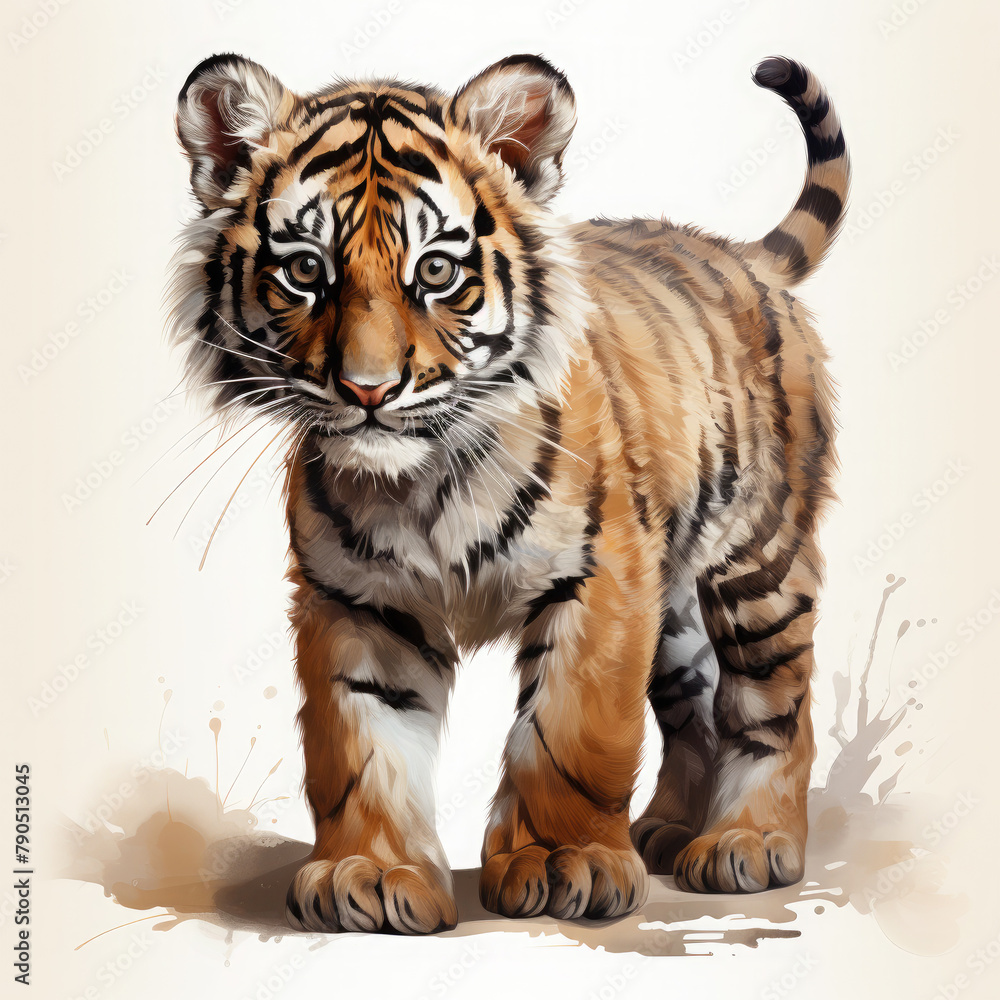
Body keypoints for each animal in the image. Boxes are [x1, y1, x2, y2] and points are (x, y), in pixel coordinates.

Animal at [169, 51, 846, 933]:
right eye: (306, 270)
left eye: (436, 270)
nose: (367, 389)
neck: (422, 480)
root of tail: (745, 255)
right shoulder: (357, 601)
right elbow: (357, 742)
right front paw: (370, 873)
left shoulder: (601, 578)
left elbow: (572, 732)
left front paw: (565, 863)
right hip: (672, 606)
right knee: (697, 707)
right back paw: (667, 830)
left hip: (758, 562)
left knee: (773, 704)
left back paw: (747, 843)